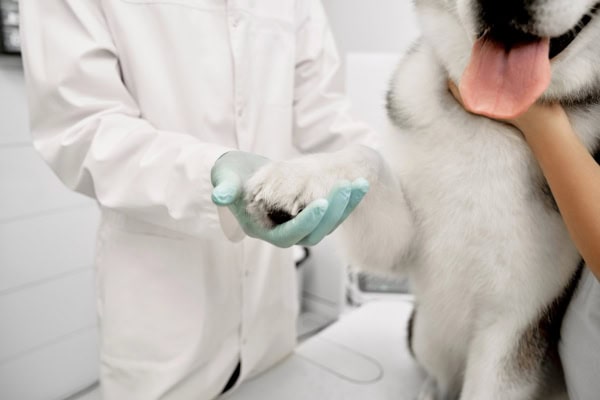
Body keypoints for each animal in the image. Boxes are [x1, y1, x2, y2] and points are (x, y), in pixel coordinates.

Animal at [244, 0, 600, 400]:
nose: (499, 2)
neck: (490, 123)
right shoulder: (402, 246)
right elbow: (369, 158)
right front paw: (299, 176)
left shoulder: (515, 323)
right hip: (424, 333)